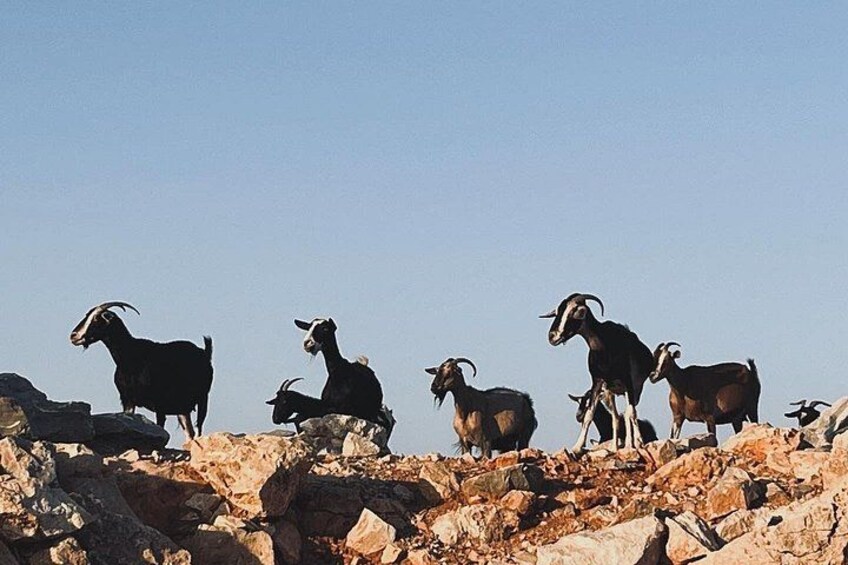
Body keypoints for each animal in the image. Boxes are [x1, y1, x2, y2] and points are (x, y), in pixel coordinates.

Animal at [70, 301, 213, 442]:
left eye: (96, 318)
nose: (73, 336)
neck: (131, 359)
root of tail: (204, 353)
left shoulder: (160, 404)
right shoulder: (127, 399)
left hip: (203, 398)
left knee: (198, 429)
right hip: (183, 407)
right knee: (190, 433)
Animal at [541, 293, 653, 452]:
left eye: (574, 311)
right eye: (557, 312)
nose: (552, 336)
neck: (603, 347)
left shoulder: (628, 380)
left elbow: (631, 413)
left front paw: (638, 442)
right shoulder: (597, 381)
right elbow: (590, 413)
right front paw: (577, 446)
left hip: (634, 389)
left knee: (629, 413)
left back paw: (631, 443)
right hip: (610, 393)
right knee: (616, 416)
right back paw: (615, 446)